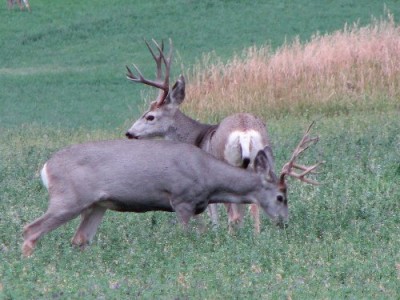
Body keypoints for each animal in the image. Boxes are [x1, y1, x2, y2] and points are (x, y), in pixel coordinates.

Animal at [125, 38, 322, 233]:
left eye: (150, 116)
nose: (129, 133)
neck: (195, 137)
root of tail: (244, 132)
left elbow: (214, 212)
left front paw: (214, 231)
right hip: (263, 159)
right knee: (255, 202)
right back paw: (256, 235)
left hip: (227, 161)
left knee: (236, 212)